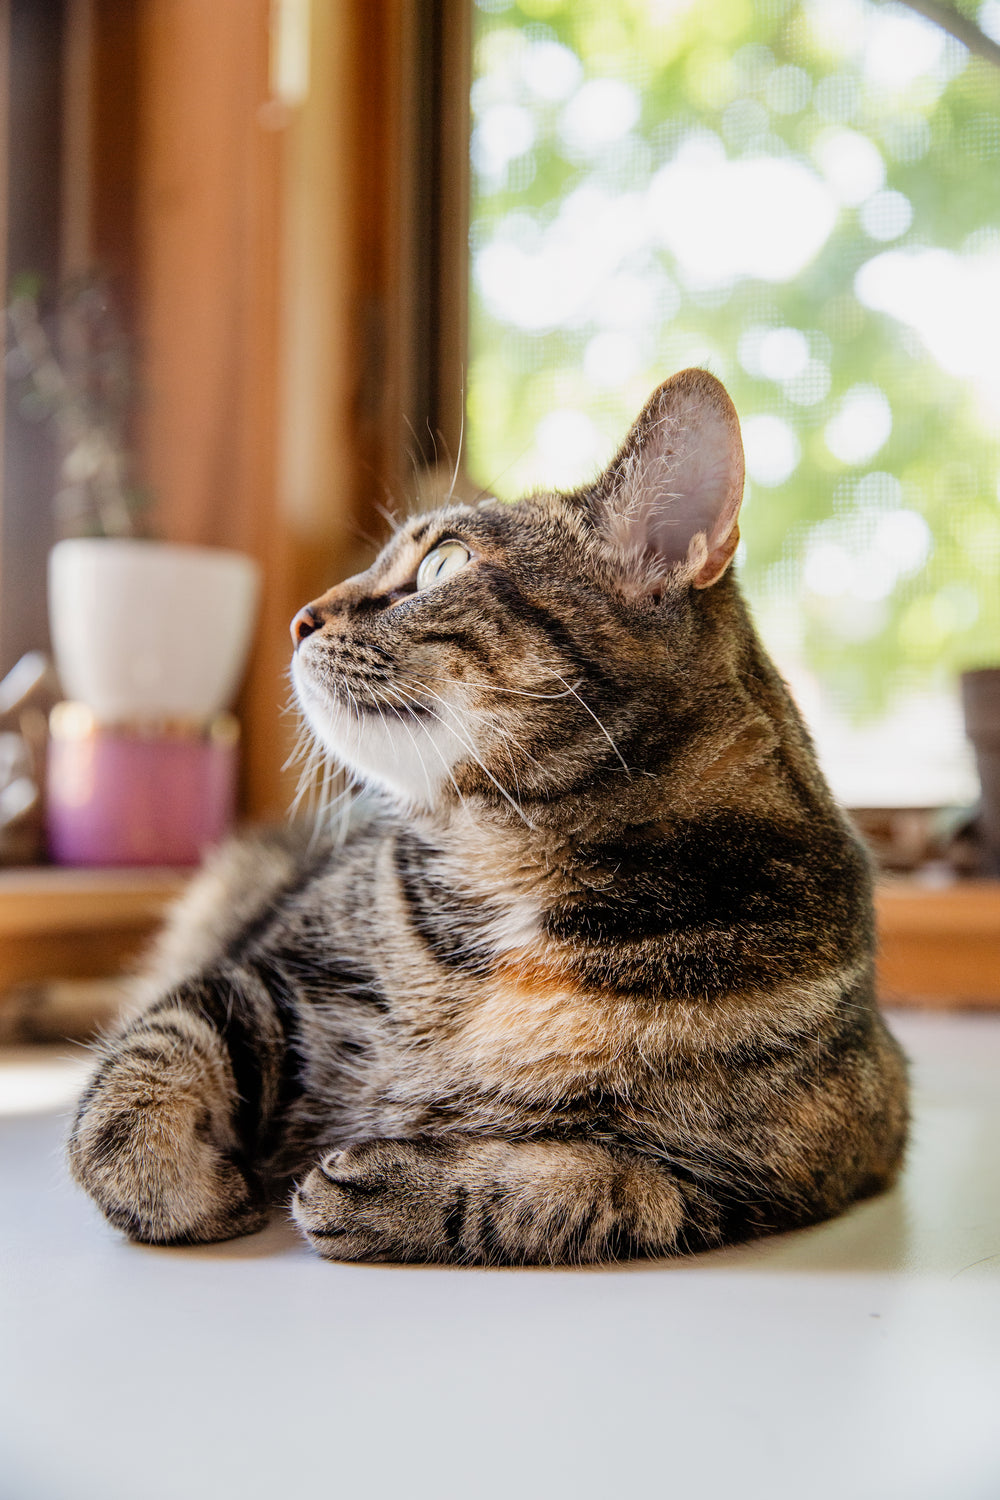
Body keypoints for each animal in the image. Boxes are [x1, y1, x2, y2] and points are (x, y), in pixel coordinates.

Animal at [66, 369, 911, 1260]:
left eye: (444, 562)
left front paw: (392, 1186)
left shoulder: (781, 1163)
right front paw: (188, 1188)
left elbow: (578, 1189)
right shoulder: (264, 970)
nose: (298, 618)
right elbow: (144, 1069)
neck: (512, 866)